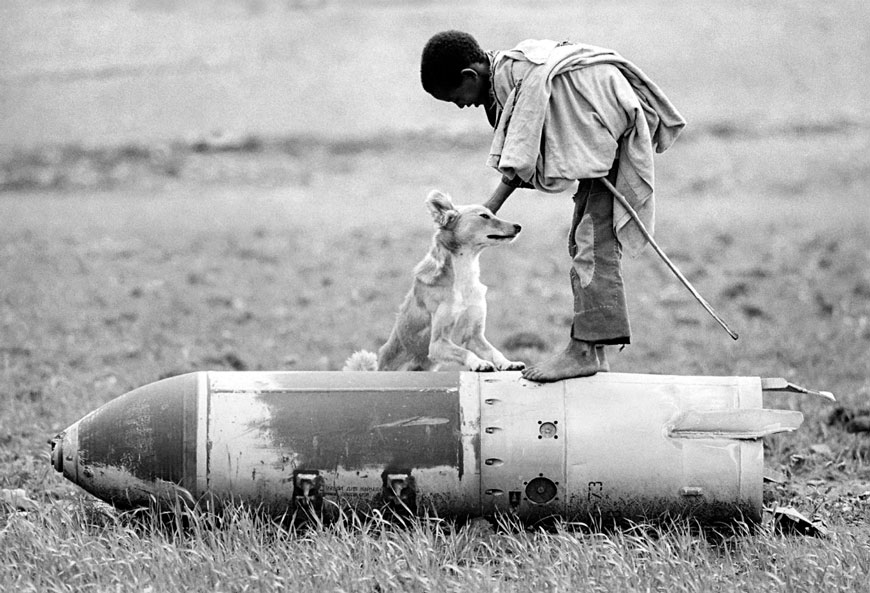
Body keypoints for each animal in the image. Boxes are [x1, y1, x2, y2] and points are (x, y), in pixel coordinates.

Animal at [346, 190, 524, 370]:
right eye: (484, 216)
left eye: (492, 214)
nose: (518, 227)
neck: (462, 280)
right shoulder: (438, 344)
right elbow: (464, 352)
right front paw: (479, 363)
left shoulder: (474, 337)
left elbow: (494, 352)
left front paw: (508, 363)